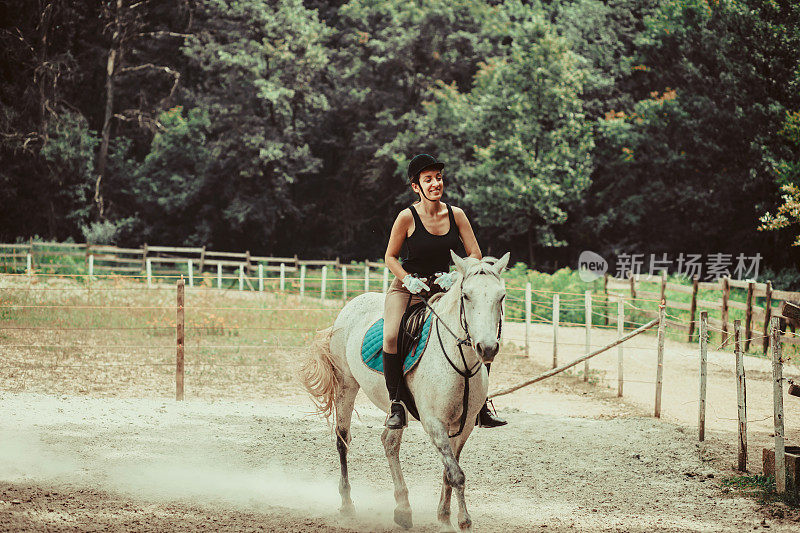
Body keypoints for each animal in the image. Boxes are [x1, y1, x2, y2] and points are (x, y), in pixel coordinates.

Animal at [296, 251, 510, 528]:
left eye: (501, 296)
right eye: (466, 295)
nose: (487, 348)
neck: (459, 363)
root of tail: (352, 305)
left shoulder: (464, 427)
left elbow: (449, 471)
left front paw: (445, 517)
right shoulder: (434, 423)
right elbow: (456, 474)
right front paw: (461, 522)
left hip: (397, 407)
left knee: (389, 442)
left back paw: (403, 508)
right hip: (346, 386)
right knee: (343, 440)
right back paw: (347, 504)